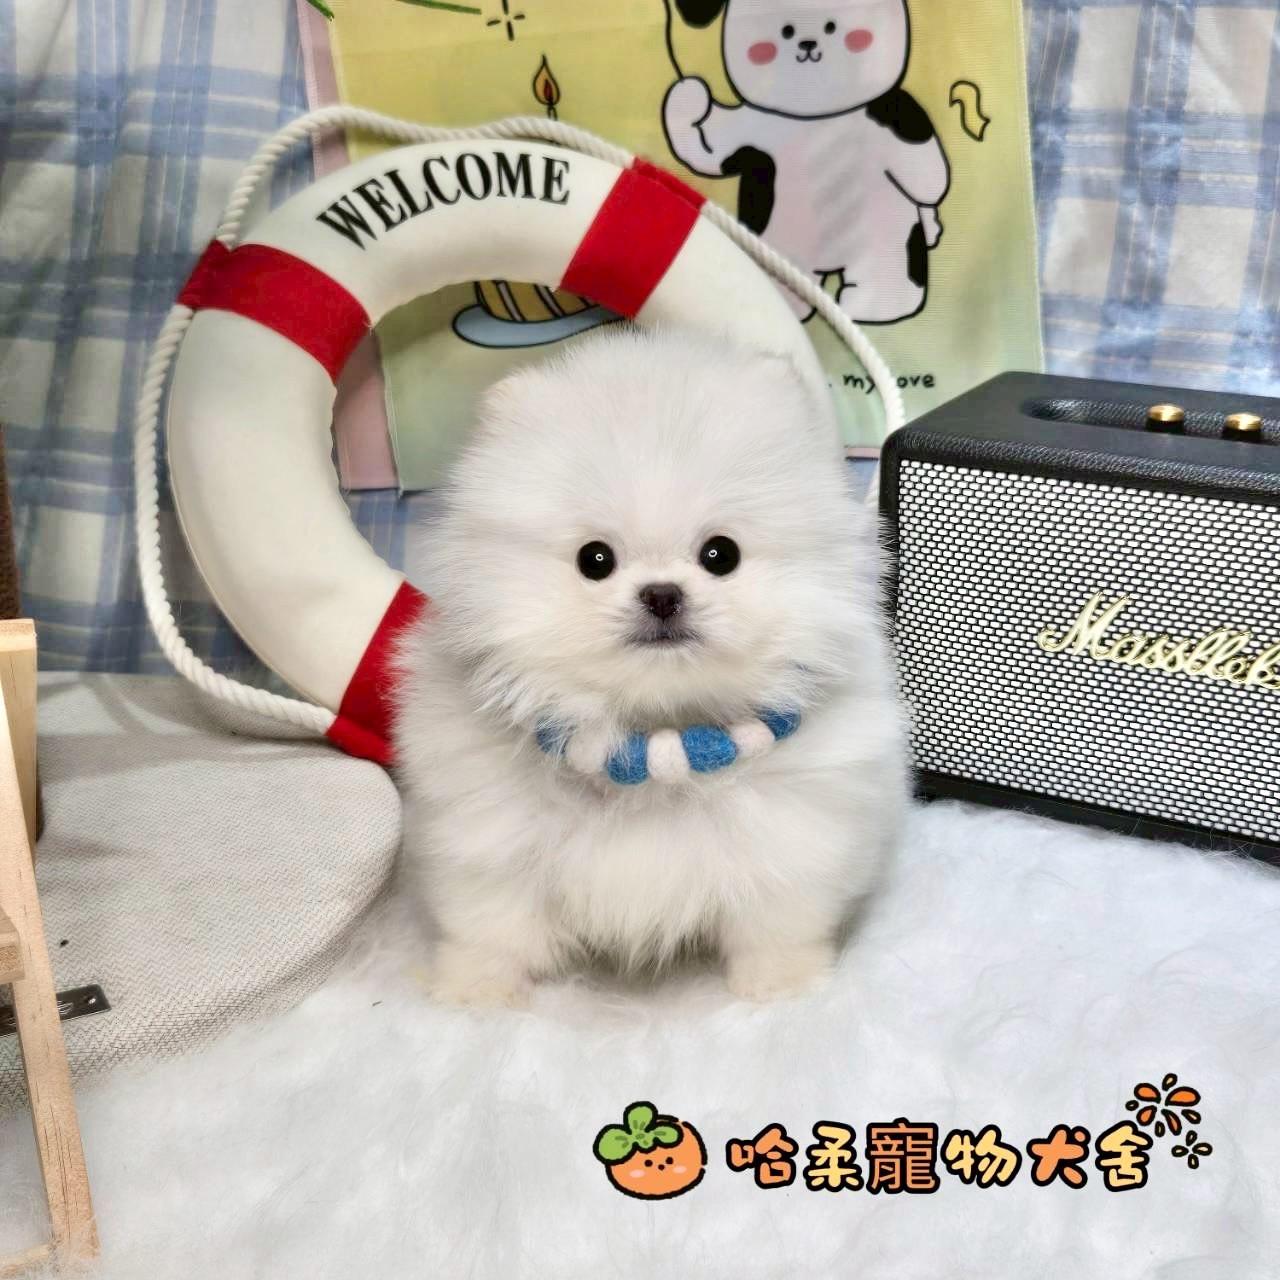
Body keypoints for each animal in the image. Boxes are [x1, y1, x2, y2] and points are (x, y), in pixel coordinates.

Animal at [393, 327, 908, 1005]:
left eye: (721, 554)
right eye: (595, 559)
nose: (662, 595)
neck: (655, 741)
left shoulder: (791, 840)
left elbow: (777, 923)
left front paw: (781, 987)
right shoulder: (490, 839)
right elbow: (492, 925)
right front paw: (474, 991)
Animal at [663, 0, 949, 323]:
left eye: (831, 26)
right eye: (787, 30)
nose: (808, 43)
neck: (817, 117)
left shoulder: (891, 113)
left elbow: (924, 171)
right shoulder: (748, 128)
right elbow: (708, 148)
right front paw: (690, 94)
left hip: (890, 245)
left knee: (889, 277)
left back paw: (875, 308)